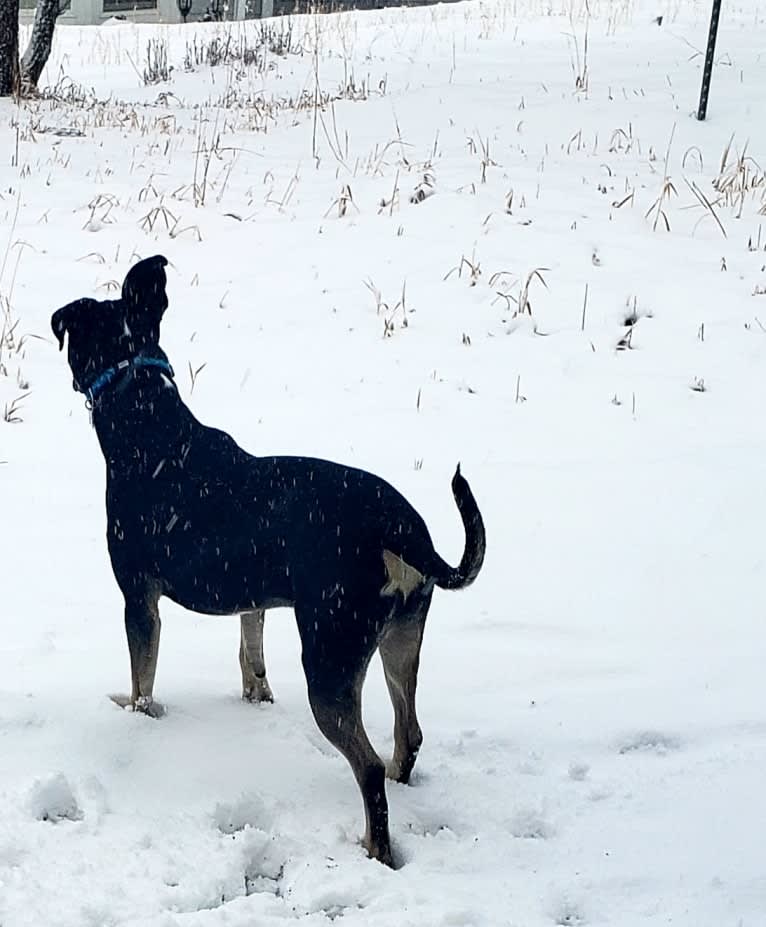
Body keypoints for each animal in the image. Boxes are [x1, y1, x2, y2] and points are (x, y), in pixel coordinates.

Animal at [51, 252, 486, 864]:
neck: (146, 423)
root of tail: (402, 530)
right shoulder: (252, 593)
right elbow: (250, 649)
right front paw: (255, 697)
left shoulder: (138, 595)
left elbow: (143, 679)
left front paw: (139, 718)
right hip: (403, 634)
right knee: (409, 733)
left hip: (330, 652)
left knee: (369, 766)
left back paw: (374, 849)